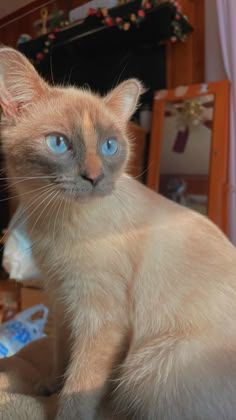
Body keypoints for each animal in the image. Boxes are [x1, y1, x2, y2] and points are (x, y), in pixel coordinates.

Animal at [0, 46, 236, 420]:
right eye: (58, 143)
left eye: (109, 147)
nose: (94, 177)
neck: (56, 221)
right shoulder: (62, 301)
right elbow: (61, 355)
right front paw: (49, 386)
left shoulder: (100, 318)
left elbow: (79, 388)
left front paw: (62, 409)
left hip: (148, 366)